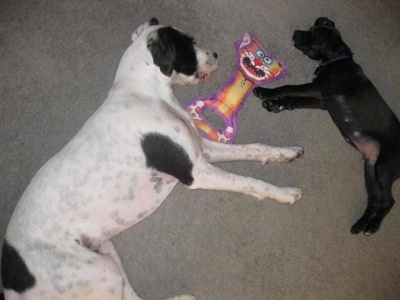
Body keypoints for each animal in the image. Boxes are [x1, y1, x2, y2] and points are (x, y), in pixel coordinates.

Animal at [253, 17, 400, 236]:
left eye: (315, 36)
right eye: (311, 29)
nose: (296, 32)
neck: (335, 61)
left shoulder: (319, 90)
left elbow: (289, 88)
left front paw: (265, 92)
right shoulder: (322, 101)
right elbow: (295, 100)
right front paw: (276, 104)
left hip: (383, 167)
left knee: (388, 201)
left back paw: (373, 226)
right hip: (370, 168)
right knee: (374, 200)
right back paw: (360, 225)